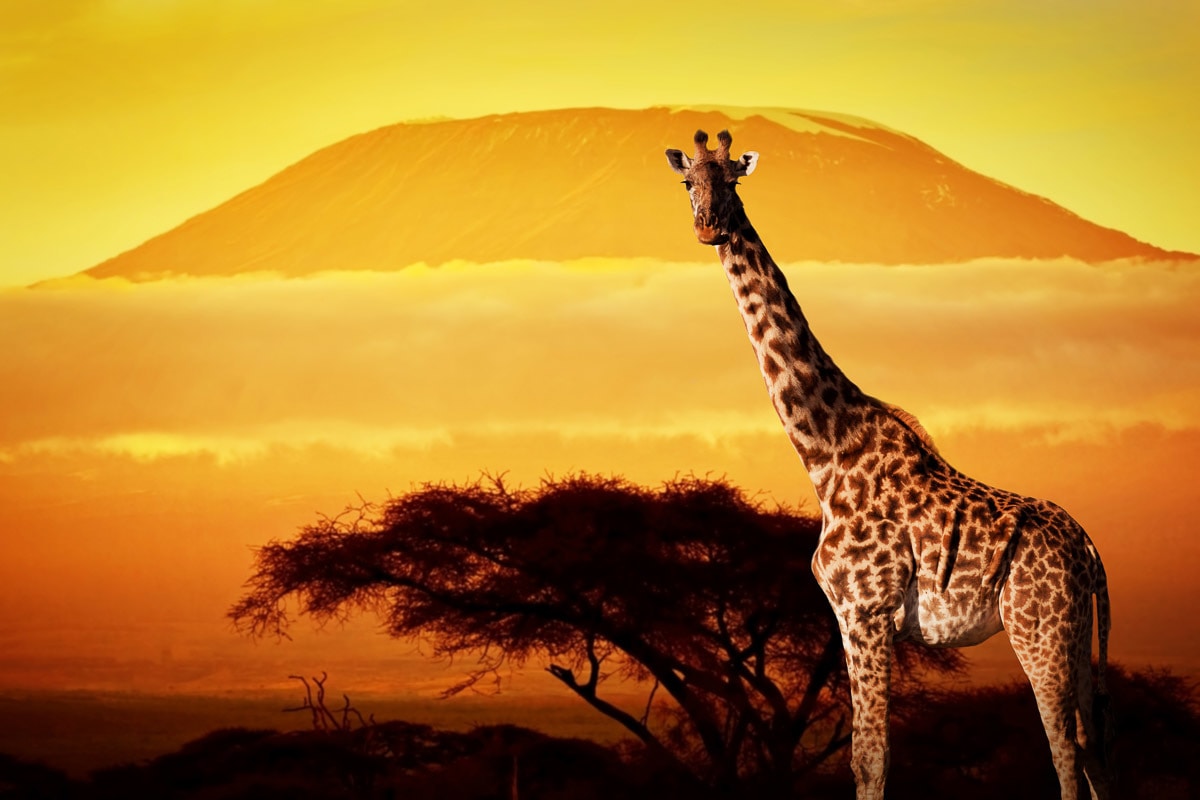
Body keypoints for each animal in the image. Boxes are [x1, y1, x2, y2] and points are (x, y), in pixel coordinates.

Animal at [665, 129, 1112, 799]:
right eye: (688, 181)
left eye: (734, 180)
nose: (709, 227)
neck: (825, 454)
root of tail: (1087, 548)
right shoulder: (847, 619)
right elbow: (864, 756)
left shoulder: (867, 611)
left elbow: (871, 757)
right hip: (1076, 635)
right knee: (1096, 749)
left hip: (1040, 629)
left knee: (1065, 752)